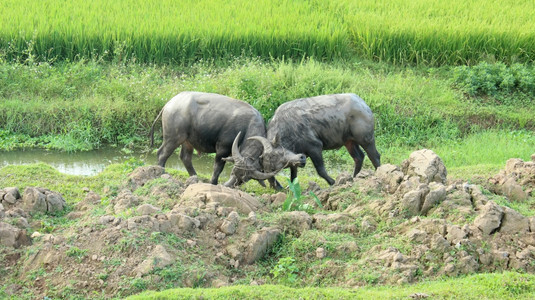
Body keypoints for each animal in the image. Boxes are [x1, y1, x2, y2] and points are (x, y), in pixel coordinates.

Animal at [150, 91, 306, 188]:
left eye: (245, 179)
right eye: (234, 173)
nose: (233, 185)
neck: (247, 126)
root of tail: (170, 103)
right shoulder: (222, 149)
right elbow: (217, 168)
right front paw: (213, 183)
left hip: (188, 141)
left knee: (185, 157)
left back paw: (195, 177)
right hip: (173, 137)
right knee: (162, 154)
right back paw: (161, 172)